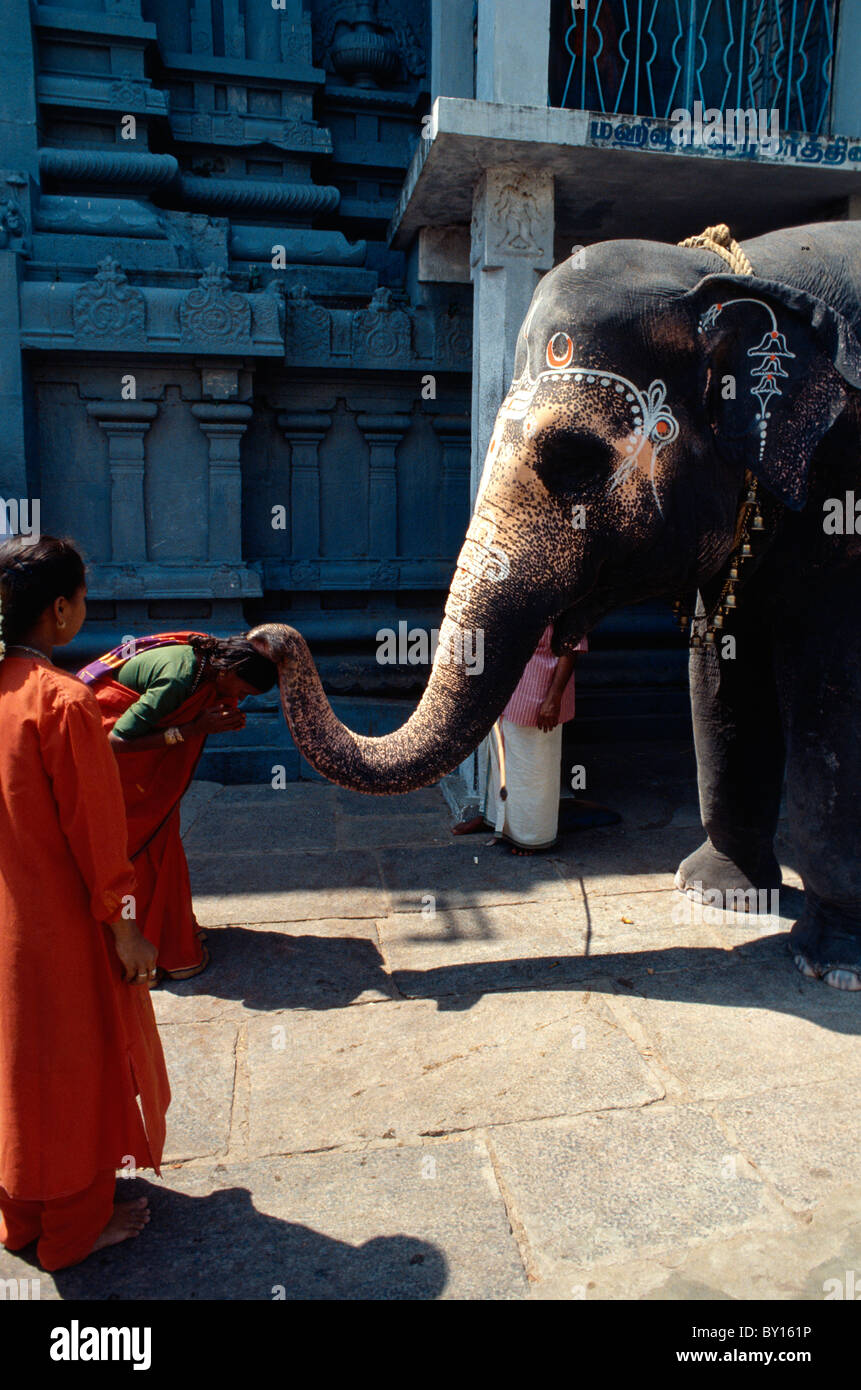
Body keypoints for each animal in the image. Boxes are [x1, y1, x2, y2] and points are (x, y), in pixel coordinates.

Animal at [253, 219, 861, 989]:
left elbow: (830, 689)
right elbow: (718, 666)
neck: (734, 274)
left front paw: (831, 962)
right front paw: (715, 894)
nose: (265, 637)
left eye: (573, 458)